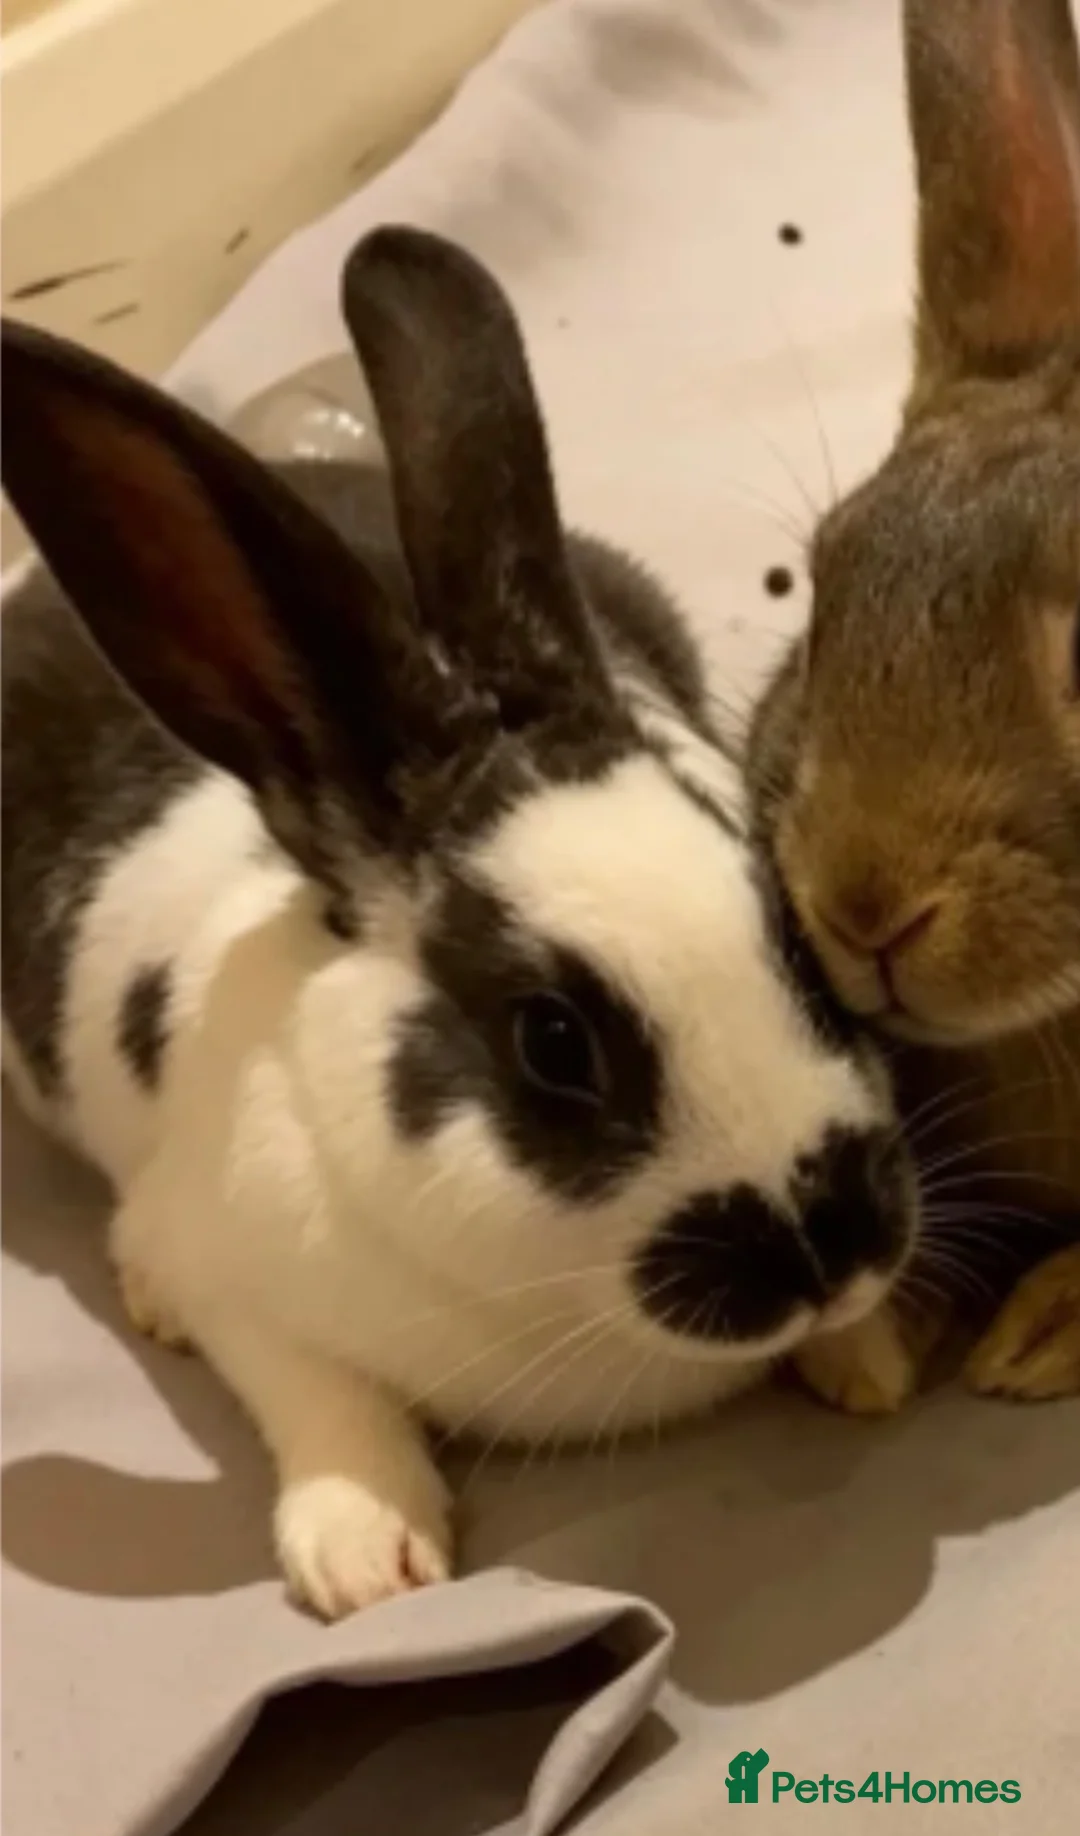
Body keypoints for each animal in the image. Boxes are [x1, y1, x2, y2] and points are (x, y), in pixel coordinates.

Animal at [1, 225, 921, 1620]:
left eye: (801, 945)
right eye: (553, 1042)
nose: (827, 1251)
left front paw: (869, 1359)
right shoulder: (243, 1285)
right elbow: (320, 1396)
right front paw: (366, 1559)